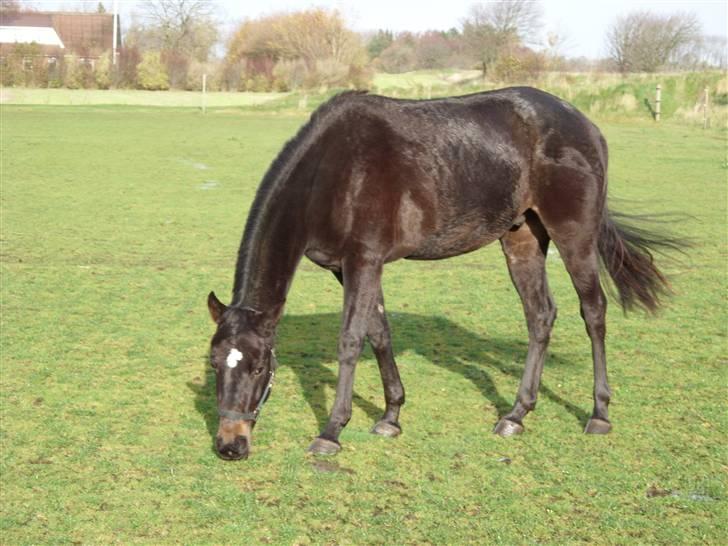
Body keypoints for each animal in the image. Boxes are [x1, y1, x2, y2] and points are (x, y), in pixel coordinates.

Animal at [205, 86, 676, 460]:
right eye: (214, 363)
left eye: (259, 367)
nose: (230, 444)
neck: (333, 173)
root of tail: (586, 125)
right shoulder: (351, 268)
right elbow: (380, 333)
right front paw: (391, 416)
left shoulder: (363, 261)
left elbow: (351, 340)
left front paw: (332, 430)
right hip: (521, 238)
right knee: (540, 315)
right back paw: (516, 414)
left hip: (574, 234)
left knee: (593, 310)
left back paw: (599, 413)